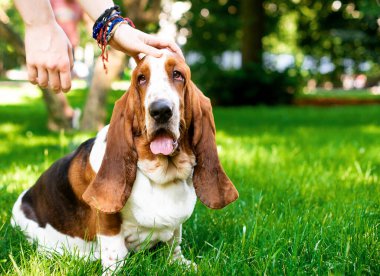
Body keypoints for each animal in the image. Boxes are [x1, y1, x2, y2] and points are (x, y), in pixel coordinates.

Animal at [11, 50, 238, 270]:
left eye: (178, 75)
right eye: (141, 78)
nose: (160, 110)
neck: (160, 174)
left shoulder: (175, 227)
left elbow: (174, 242)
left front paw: (180, 263)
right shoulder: (108, 222)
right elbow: (116, 252)